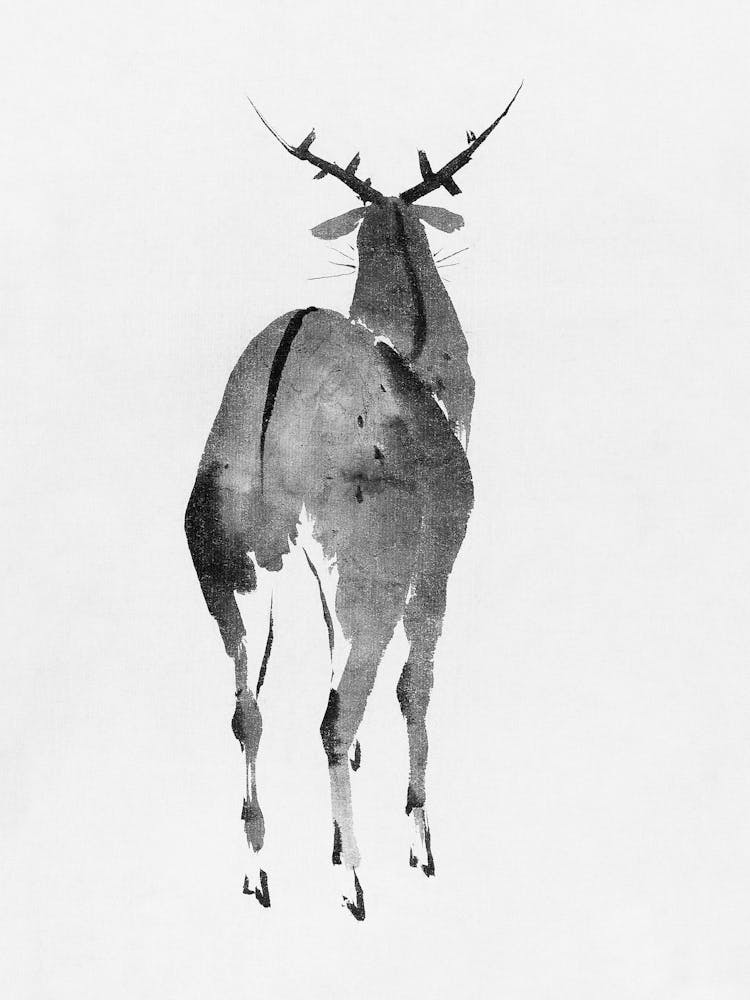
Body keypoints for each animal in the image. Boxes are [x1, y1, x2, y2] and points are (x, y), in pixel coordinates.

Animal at [185, 84, 522, 920]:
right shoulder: (436, 565)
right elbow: (415, 688)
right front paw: (420, 843)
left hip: (225, 566)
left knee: (247, 710)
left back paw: (259, 873)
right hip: (366, 569)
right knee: (336, 713)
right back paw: (356, 883)